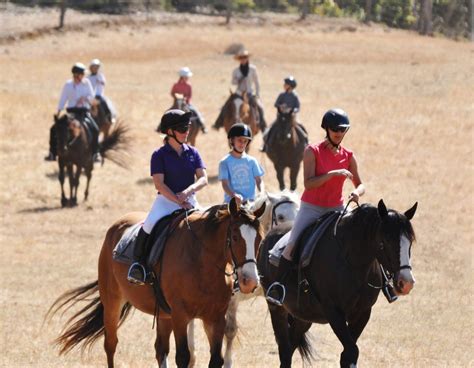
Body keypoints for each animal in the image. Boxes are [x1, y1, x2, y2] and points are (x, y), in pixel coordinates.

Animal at [48, 198, 266, 368]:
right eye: (235, 237)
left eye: (259, 239)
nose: (249, 281)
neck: (202, 260)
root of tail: (117, 226)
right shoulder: (181, 316)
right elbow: (183, 357)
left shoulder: (215, 317)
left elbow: (215, 359)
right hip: (112, 302)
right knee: (110, 344)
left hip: (163, 314)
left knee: (160, 349)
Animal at [258, 201, 416, 368]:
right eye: (385, 242)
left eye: (410, 242)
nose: (406, 283)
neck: (353, 262)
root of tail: (267, 237)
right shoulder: (334, 312)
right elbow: (352, 351)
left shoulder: (362, 313)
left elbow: (348, 354)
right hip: (277, 309)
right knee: (284, 349)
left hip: (303, 316)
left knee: (290, 347)